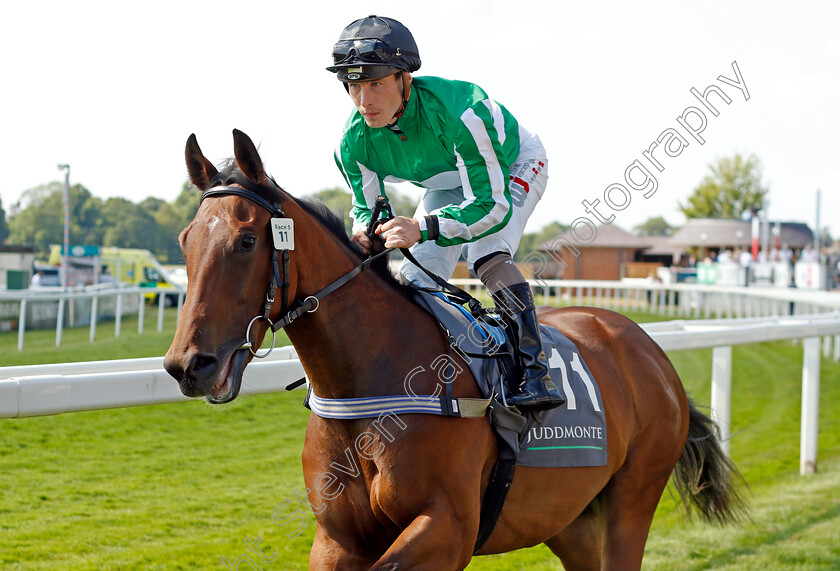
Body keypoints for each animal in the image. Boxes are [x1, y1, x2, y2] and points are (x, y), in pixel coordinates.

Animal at [164, 131, 740, 571]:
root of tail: (649, 349)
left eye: (245, 242)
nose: (188, 365)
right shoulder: (337, 540)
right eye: (185, 240)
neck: (374, 383)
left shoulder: (448, 527)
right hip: (571, 517)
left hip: (634, 496)